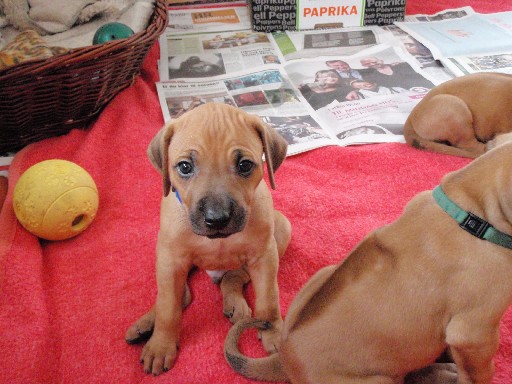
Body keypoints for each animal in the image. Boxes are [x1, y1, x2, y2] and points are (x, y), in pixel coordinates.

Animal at [126, 102, 290, 376]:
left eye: (245, 165)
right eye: (184, 167)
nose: (217, 219)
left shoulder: (264, 256)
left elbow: (269, 298)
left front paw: (274, 332)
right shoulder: (171, 259)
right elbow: (168, 308)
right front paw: (161, 345)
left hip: (282, 229)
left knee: (234, 277)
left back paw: (236, 304)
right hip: (166, 255)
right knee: (176, 295)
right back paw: (146, 323)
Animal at [225, 140, 512, 384]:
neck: (473, 211)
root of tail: (284, 359)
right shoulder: (475, 334)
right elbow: (480, 373)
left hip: (323, 274)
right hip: (381, 380)